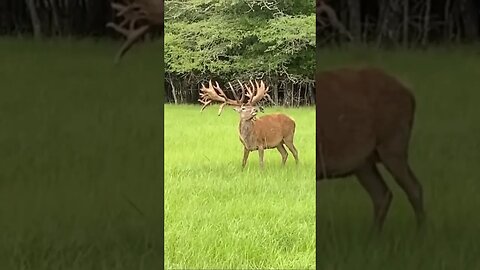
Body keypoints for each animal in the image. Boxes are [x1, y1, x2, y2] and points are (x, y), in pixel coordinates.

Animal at [316, 67, 426, 230]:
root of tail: (409, 93)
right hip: (364, 162)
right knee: (382, 193)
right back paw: (373, 234)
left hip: (393, 144)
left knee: (414, 188)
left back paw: (422, 231)